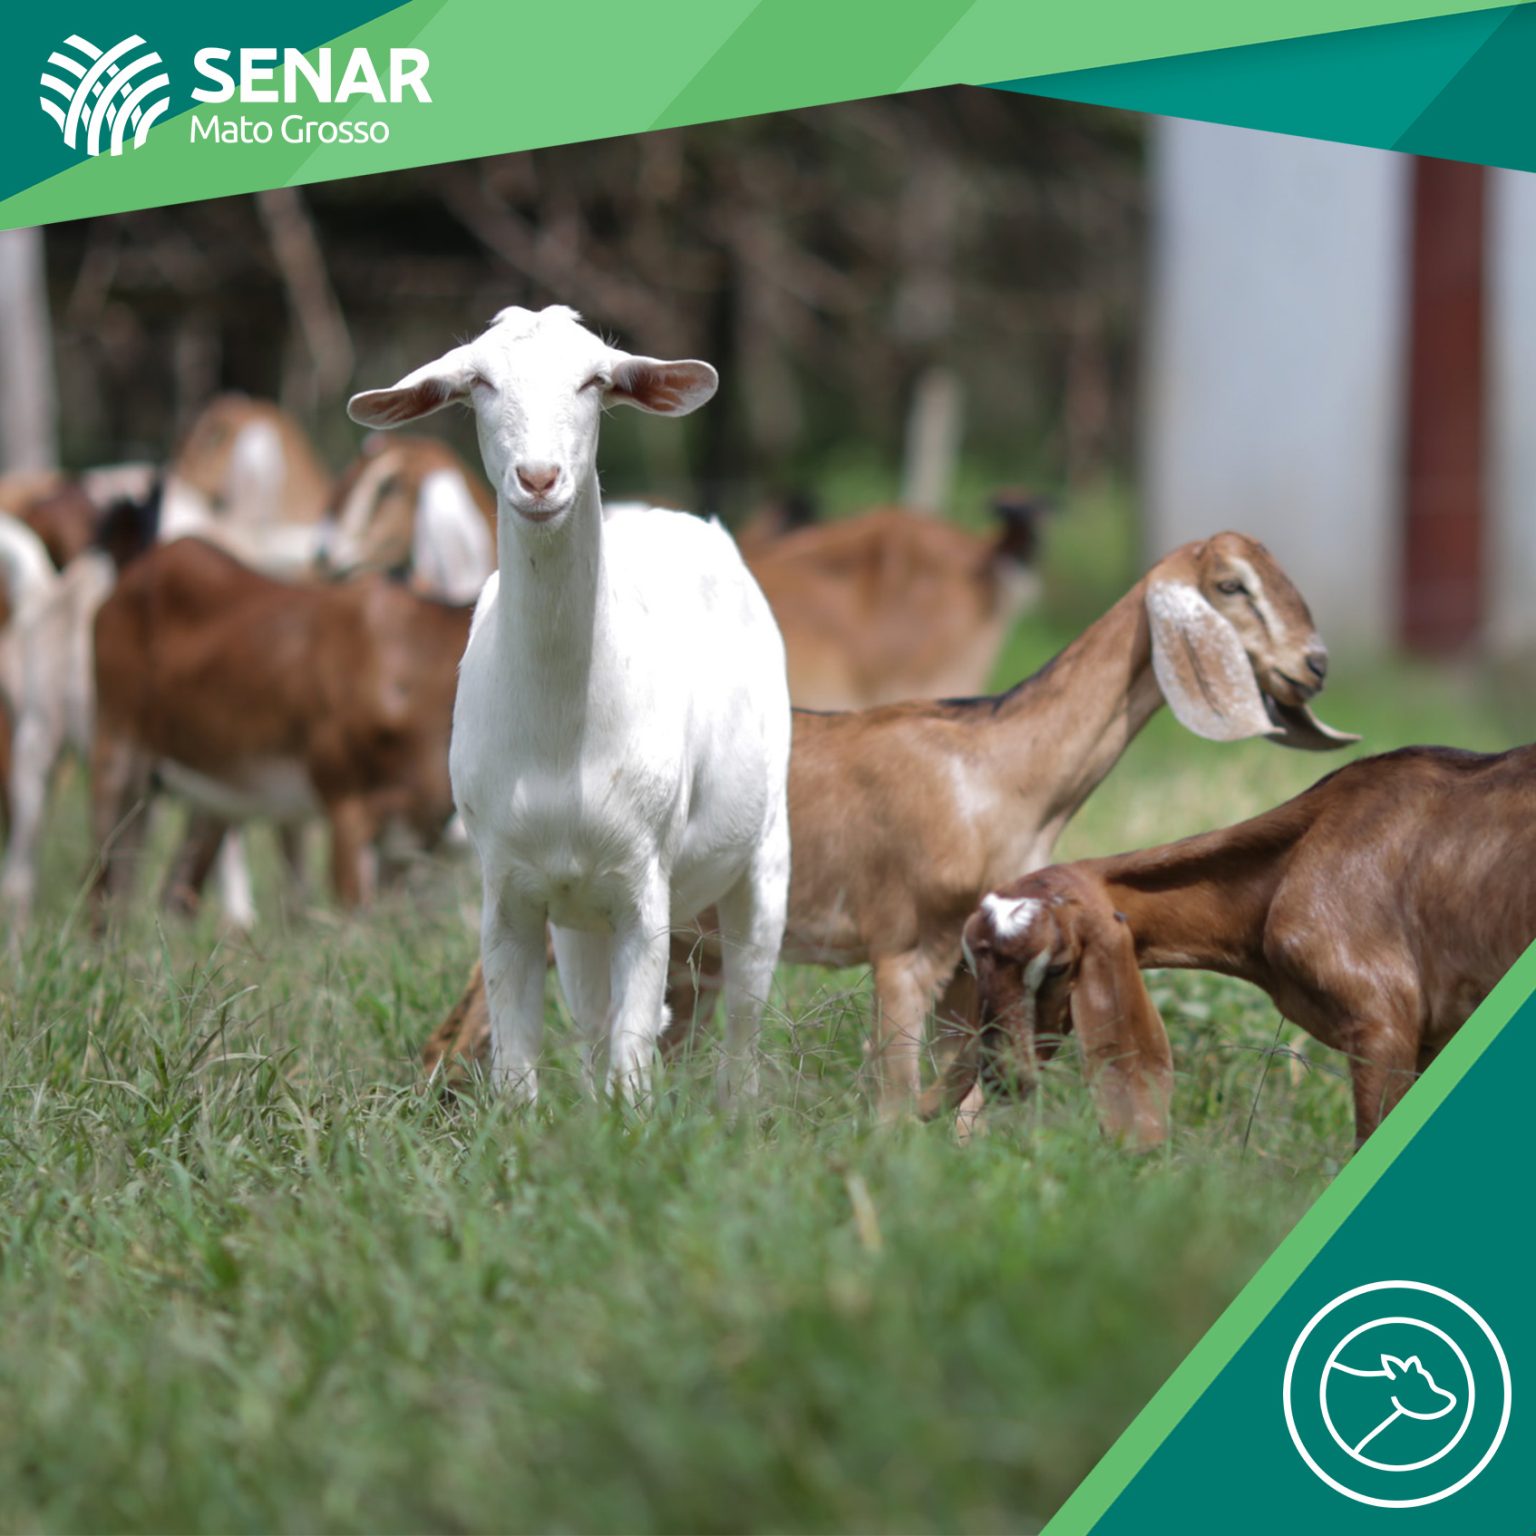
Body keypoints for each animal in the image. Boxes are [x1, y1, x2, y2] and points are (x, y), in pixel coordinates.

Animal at [91, 537, 470, 916]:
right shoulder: (345, 801)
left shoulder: (406, 842)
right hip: (117, 751)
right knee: (103, 882)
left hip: (209, 796)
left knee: (168, 894)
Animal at [350, 305, 791, 1105]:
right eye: (478, 383)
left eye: (595, 381)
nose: (539, 478)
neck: (561, 735)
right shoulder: (507, 890)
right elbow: (521, 1062)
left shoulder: (644, 885)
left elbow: (635, 1049)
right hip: (578, 914)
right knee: (590, 1020)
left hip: (765, 847)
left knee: (745, 1005)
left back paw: (738, 1105)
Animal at [422, 532, 1354, 1114]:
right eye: (1231, 585)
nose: (1315, 665)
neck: (996, 768)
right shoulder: (908, 945)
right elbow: (897, 1102)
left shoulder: (971, 967)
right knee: (462, 1023)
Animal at [934, 744, 1536, 1150]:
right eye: (973, 964)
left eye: (1058, 966)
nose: (1002, 1074)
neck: (1298, 854)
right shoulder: (1431, 1036)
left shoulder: (1381, 1019)